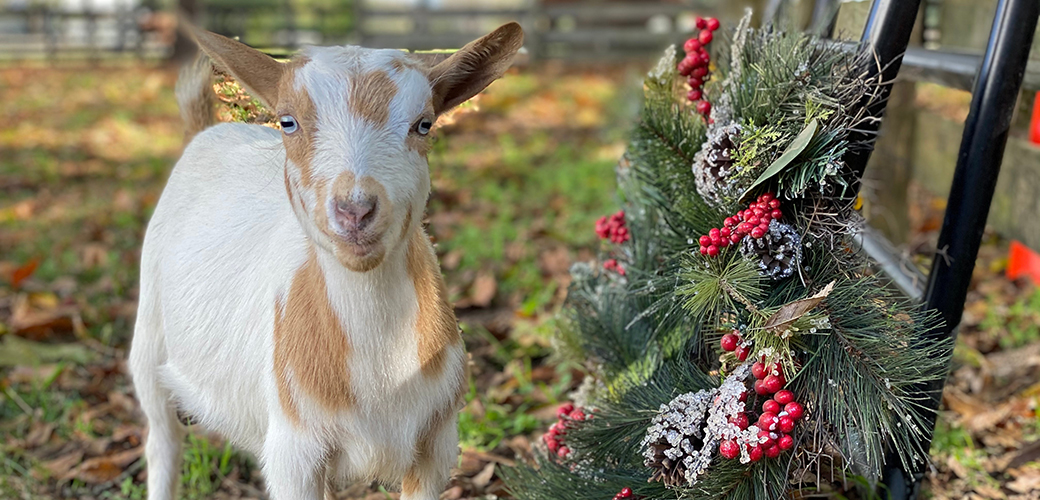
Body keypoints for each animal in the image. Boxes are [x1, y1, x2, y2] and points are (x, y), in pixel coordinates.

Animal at [126, 23, 524, 498]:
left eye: (424, 124)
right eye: (288, 121)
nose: (355, 210)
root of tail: (205, 130)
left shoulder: (436, 445)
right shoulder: (293, 453)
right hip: (149, 339)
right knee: (162, 440)